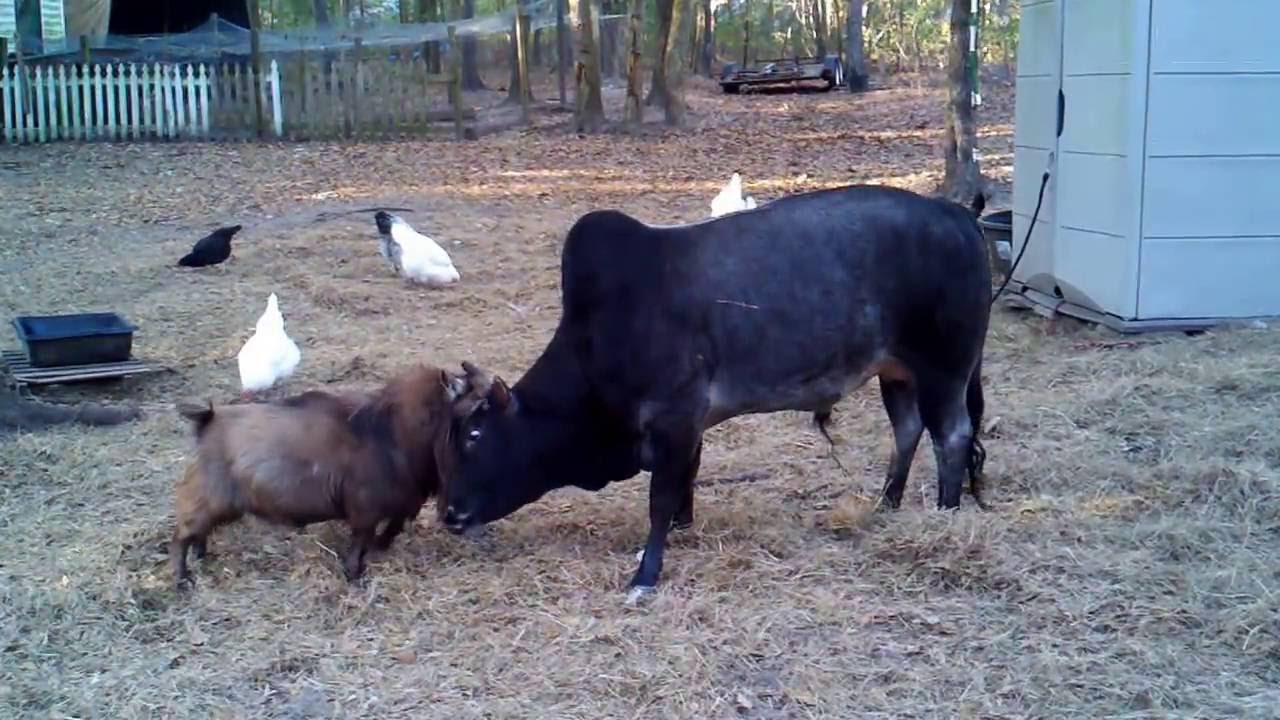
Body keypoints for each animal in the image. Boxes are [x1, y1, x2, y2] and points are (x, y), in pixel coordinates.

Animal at [441, 184, 993, 599]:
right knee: (908, 430)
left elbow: (660, 497)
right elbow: (687, 478)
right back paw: (887, 505)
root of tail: (958, 214)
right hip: (896, 372)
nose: (449, 513)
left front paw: (646, 573)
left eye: (473, 434)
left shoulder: (674, 416)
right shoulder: (690, 425)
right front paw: (682, 528)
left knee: (952, 437)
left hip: (944, 368)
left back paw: (946, 513)